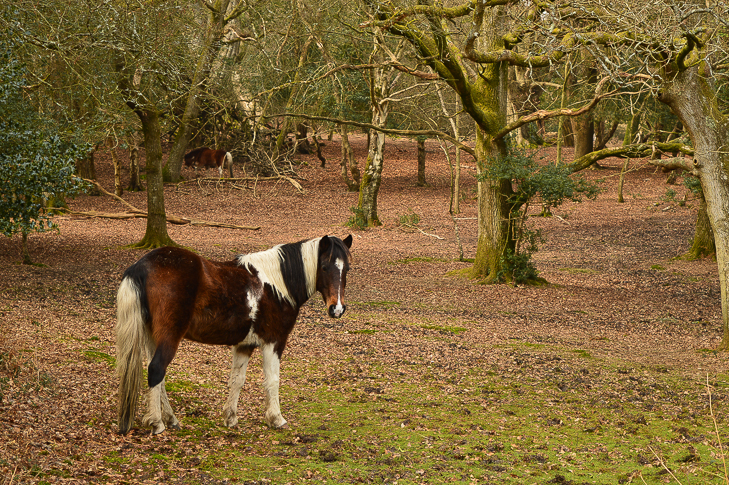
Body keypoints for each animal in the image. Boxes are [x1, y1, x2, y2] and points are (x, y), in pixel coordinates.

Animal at [115, 233, 352, 432]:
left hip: (152, 337)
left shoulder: (244, 345)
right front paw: (276, 418)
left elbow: (236, 380)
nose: (337, 309)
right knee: (156, 370)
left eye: (347, 269)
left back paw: (171, 419)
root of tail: (141, 266)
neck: (276, 285)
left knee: (158, 374)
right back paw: (157, 423)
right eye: (324, 267)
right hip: (169, 337)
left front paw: (230, 418)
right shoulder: (274, 342)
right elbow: (272, 379)